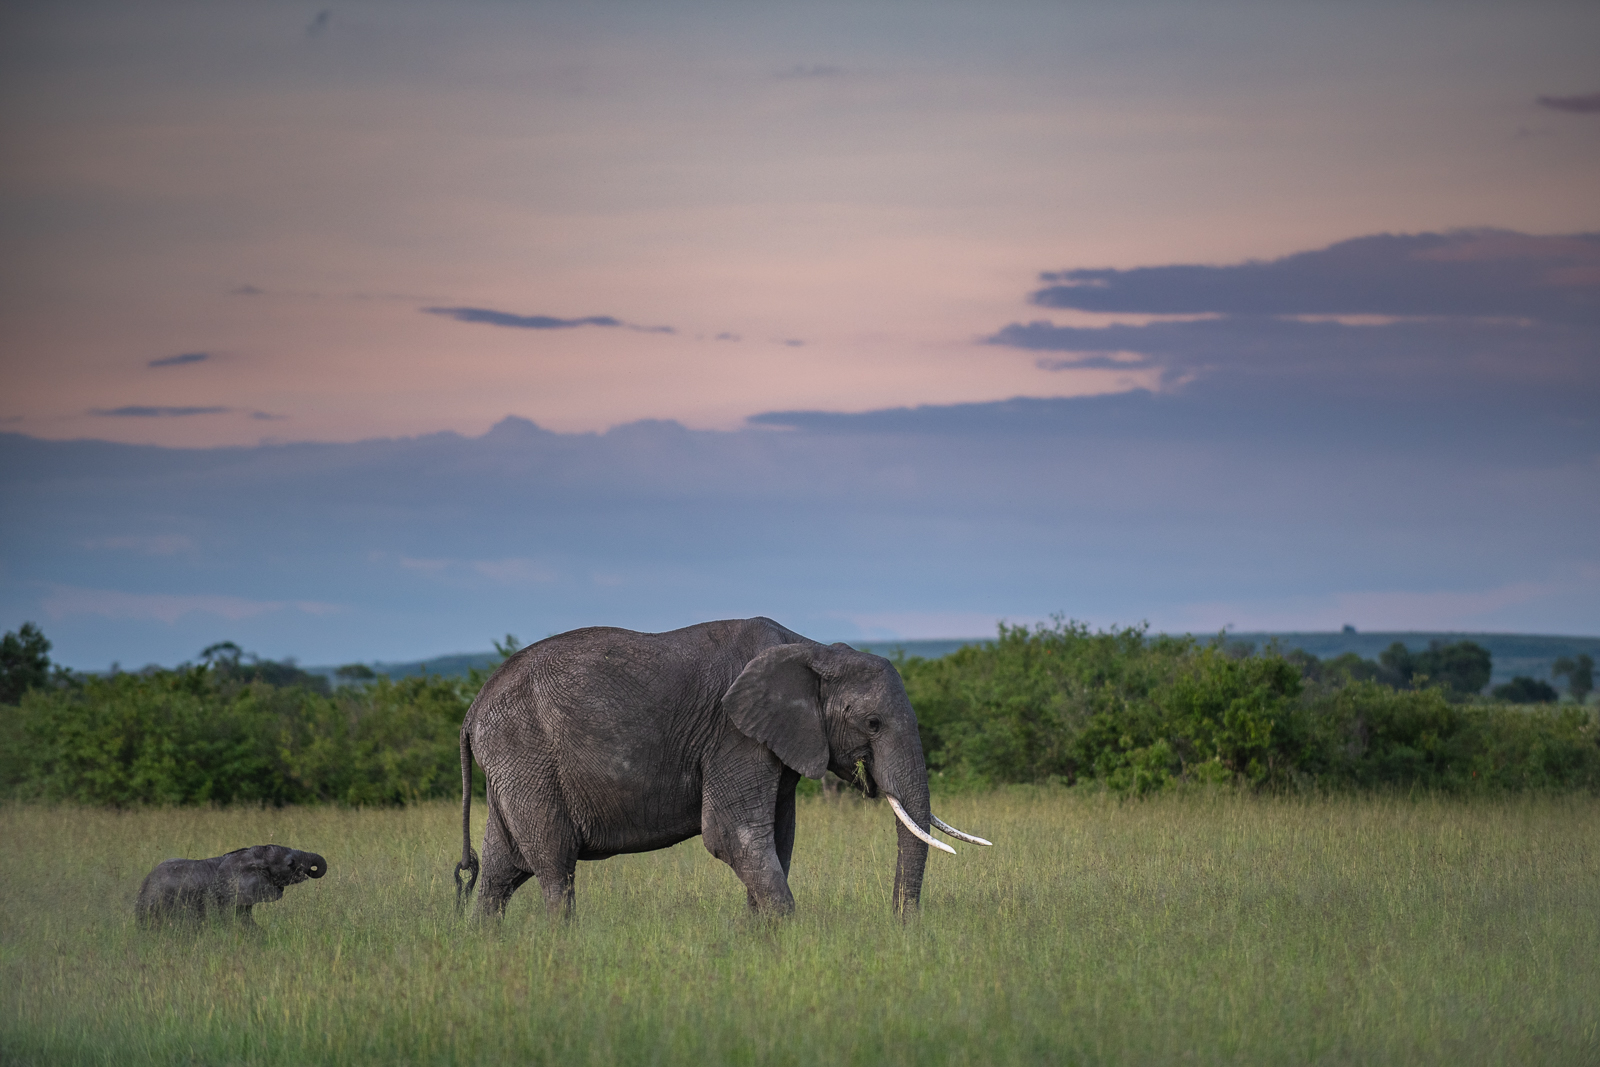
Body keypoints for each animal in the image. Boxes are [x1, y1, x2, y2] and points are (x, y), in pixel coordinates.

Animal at [453, 617, 990, 918]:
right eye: (873, 724)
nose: (903, 928)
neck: (813, 650)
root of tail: (472, 709)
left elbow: (777, 839)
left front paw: (760, 944)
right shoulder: (734, 736)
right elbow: (734, 836)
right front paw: (788, 939)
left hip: (512, 768)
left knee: (501, 870)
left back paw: (483, 946)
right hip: (526, 755)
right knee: (553, 866)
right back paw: (562, 944)